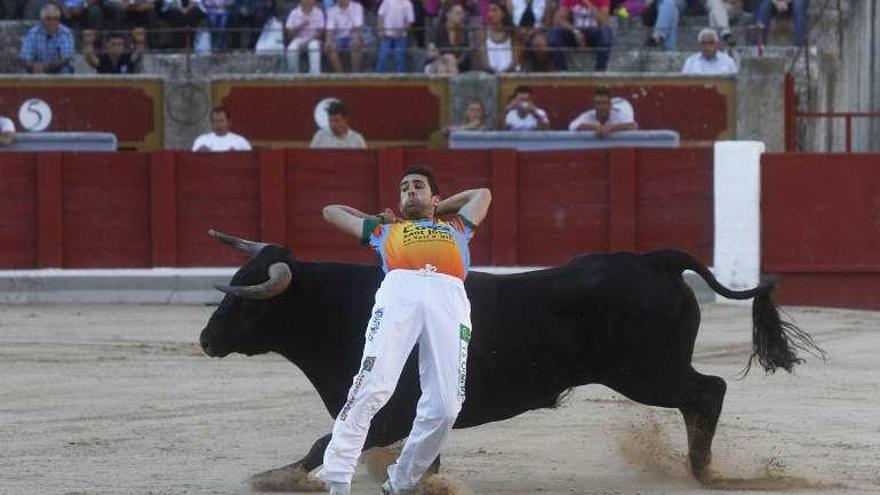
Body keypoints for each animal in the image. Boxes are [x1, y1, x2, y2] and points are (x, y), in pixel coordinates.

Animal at [198, 232, 820, 488]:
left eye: (246, 299)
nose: (205, 340)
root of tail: (654, 260)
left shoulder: (387, 410)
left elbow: (323, 444)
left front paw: (270, 477)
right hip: (648, 372)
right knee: (702, 396)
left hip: (645, 373)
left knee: (708, 390)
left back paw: (704, 471)